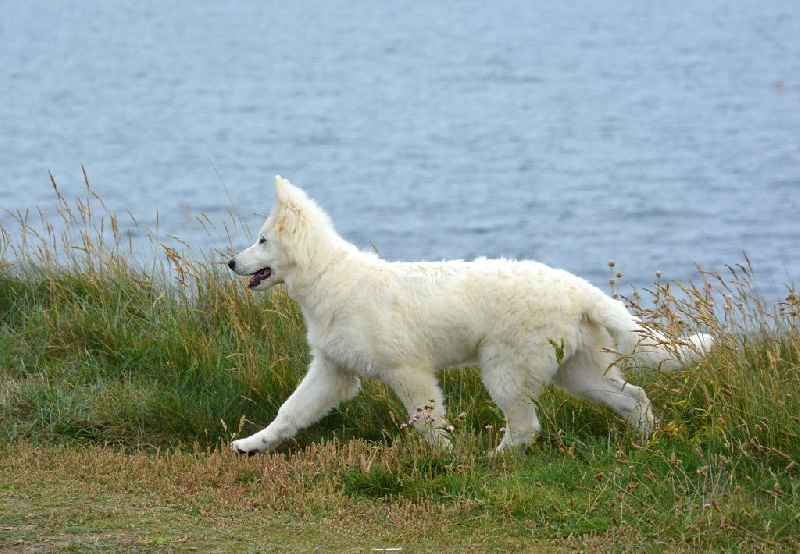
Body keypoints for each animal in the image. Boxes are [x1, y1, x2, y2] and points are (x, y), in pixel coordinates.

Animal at [227, 177, 712, 452]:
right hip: (576, 371)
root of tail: (578, 287)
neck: (331, 278)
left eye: (262, 240)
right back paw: (647, 443)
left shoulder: (408, 371)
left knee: (525, 427)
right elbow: (289, 412)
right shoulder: (333, 370)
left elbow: (428, 422)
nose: (231, 263)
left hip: (506, 369)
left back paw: (492, 460)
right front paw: (253, 445)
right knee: (634, 397)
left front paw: (446, 458)